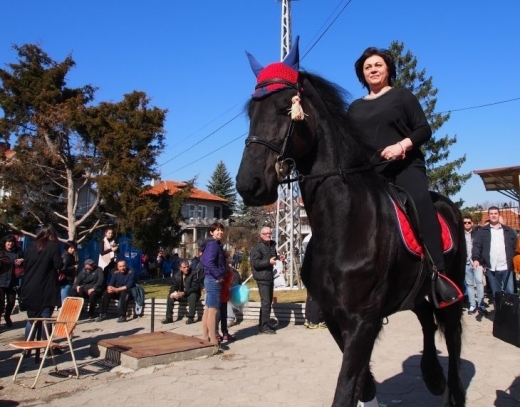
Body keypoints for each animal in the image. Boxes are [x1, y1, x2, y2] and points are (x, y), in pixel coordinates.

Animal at [238, 39, 466, 407]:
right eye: (251, 113)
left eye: (286, 108)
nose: (249, 184)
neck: (343, 223)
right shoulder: (334, 316)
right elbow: (361, 382)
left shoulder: (363, 321)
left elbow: (346, 387)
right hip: (416, 292)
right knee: (427, 322)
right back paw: (432, 375)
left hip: (453, 290)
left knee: (453, 336)